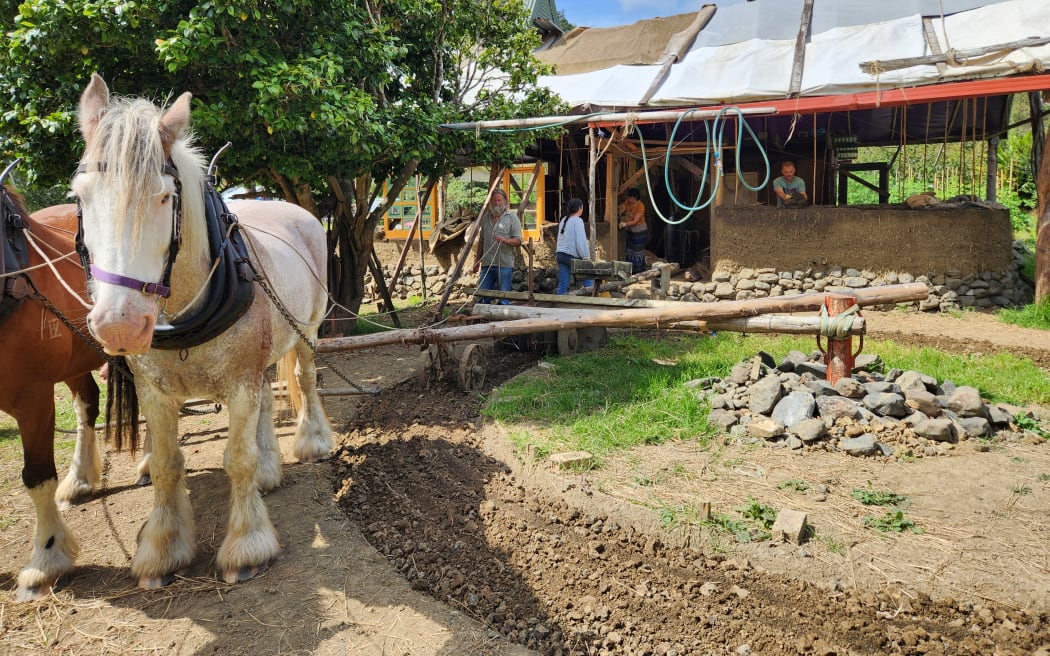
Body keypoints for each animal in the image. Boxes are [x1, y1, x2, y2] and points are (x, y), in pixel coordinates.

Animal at [73, 74, 333, 588]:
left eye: (164, 197)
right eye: (80, 196)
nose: (120, 324)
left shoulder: (239, 382)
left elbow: (237, 459)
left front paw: (247, 546)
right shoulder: (154, 390)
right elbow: (167, 465)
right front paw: (162, 550)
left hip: (307, 330)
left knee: (306, 380)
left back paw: (311, 442)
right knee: (268, 400)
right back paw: (270, 470)